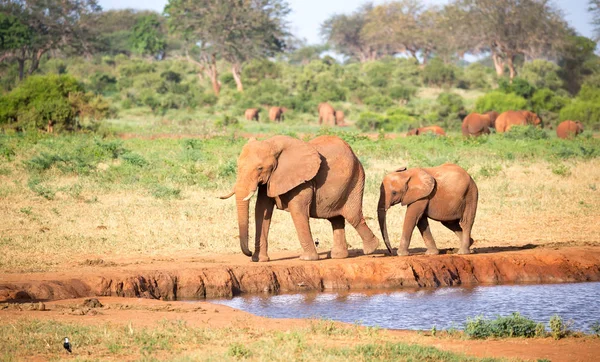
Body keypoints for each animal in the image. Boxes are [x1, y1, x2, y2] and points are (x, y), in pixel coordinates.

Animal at [220, 134, 380, 262]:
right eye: (238, 166)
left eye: (260, 168)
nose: (249, 252)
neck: (272, 144)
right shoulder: (271, 179)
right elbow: (261, 210)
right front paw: (259, 260)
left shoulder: (303, 181)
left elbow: (297, 210)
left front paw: (307, 259)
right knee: (336, 219)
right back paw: (338, 256)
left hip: (356, 180)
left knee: (353, 216)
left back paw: (371, 249)